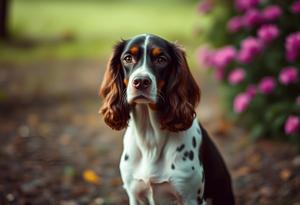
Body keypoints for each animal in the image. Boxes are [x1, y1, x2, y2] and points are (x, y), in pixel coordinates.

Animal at [99, 34, 236, 204]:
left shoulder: (191, 197)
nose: (141, 82)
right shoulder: (134, 194)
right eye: (128, 58)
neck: (150, 140)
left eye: (161, 59)